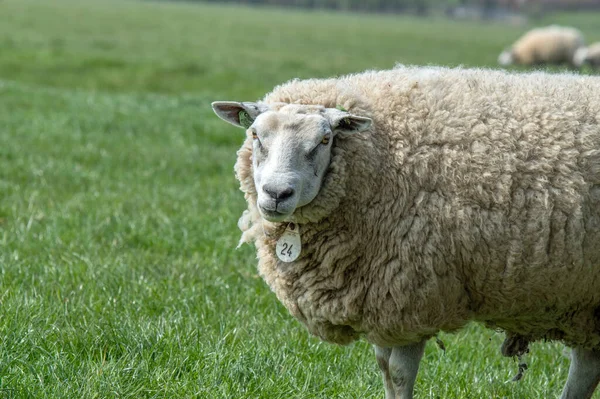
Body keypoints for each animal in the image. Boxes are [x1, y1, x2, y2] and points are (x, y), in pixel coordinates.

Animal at [213, 66, 600, 399]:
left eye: (324, 140)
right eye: (255, 135)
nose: (277, 193)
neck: (380, 157)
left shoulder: (407, 294)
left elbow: (398, 375)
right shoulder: (377, 297)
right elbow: (384, 370)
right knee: (586, 368)